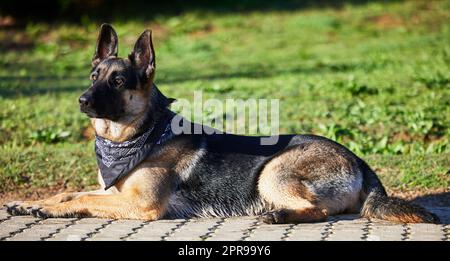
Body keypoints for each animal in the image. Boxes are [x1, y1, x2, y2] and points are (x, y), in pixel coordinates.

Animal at [5, 24, 438, 223]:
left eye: (117, 81)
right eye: (94, 75)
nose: (81, 100)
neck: (139, 134)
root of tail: (359, 160)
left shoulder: (140, 205)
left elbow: (82, 200)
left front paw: (45, 208)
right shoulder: (114, 192)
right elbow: (70, 193)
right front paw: (32, 203)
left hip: (273, 173)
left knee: (319, 211)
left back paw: (278, 215)